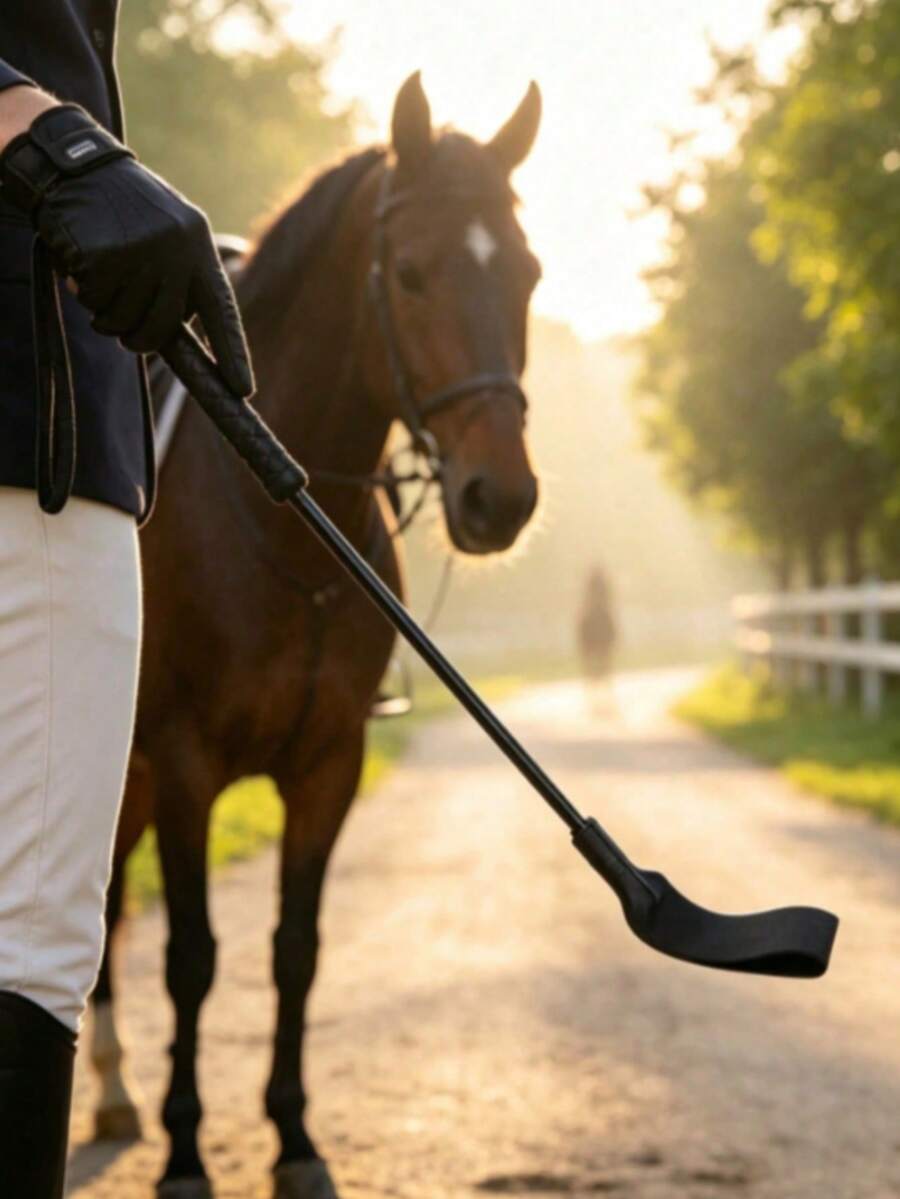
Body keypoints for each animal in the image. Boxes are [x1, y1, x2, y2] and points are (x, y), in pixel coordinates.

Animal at [87, 72, 543, 1199]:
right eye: (410, 272)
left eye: (527, 273)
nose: (501, 498)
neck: (284, 521)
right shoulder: (189, 763)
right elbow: (195, 958)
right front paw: (187, 1152)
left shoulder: (328, 762)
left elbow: (295, 948)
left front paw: (293, 1138)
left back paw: (111, 1084)